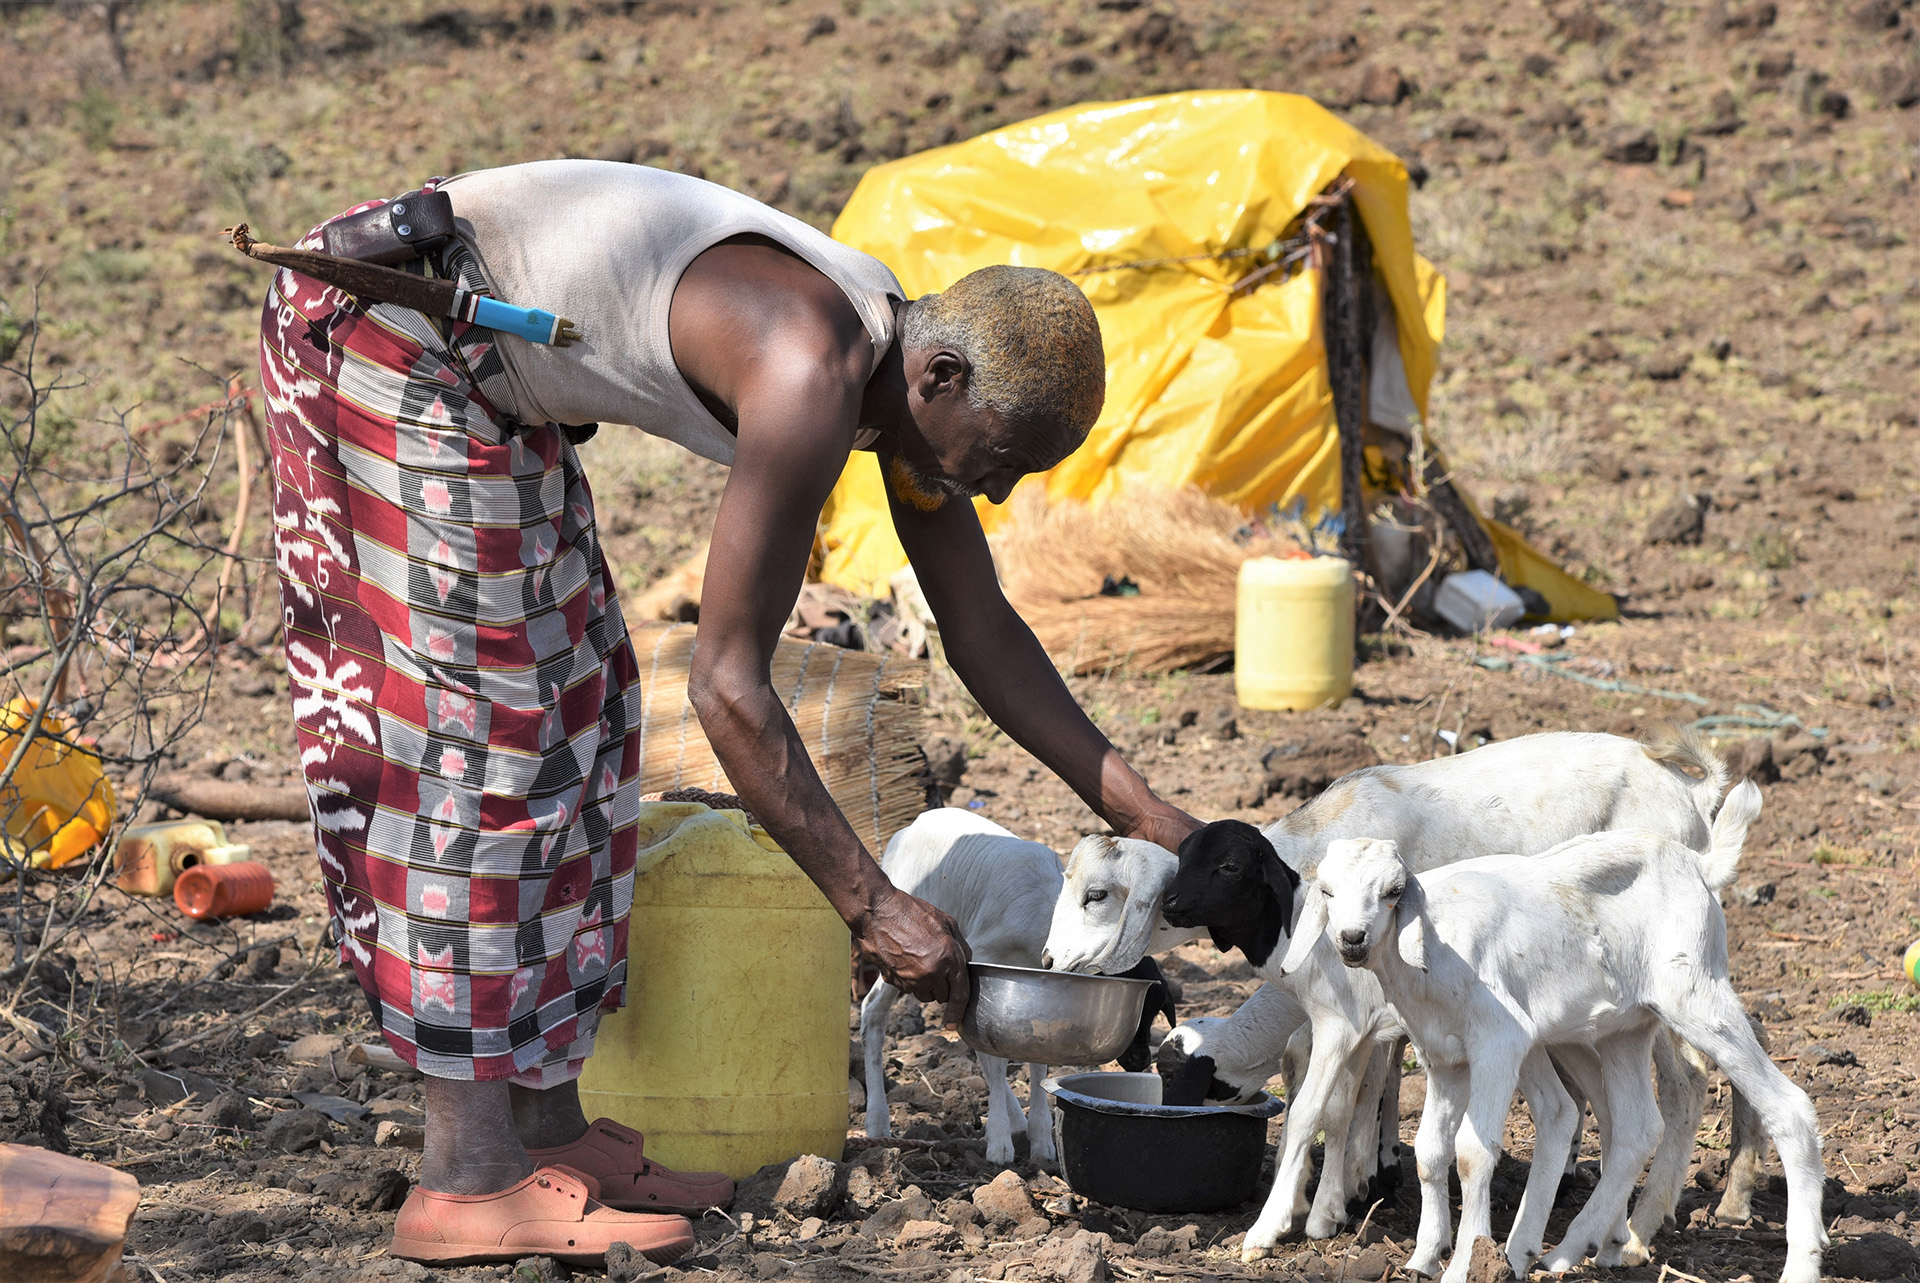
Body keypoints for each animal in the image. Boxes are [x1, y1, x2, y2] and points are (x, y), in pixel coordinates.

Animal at [1297, 775, 1820, 1283]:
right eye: (1327, 892)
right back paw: (1572, 1249)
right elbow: (1430, 1152)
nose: (1352, 939)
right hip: (1627, 1029)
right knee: (1636, 1127)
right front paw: (1424, 1258)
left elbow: (1471, 1153)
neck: (1436, 944)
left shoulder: (1499, 1042)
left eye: (1392, 893)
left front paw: (1464, 1265)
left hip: (1696, 996)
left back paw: (1800, 1263)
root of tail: (1700, 864)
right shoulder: (1442, 1056)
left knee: (1789, 1107)